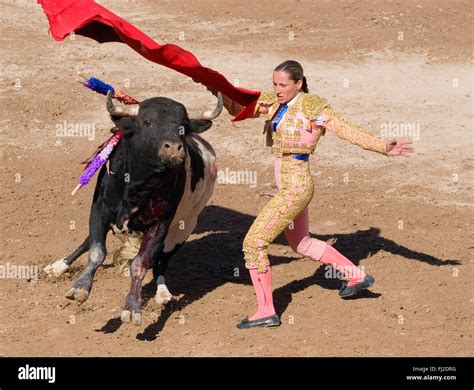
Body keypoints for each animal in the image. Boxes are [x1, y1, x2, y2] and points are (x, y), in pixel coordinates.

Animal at [44, 91, 222, 326]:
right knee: (88, 242)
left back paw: (163, 293)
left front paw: (132, 306)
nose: (174, 148)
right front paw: (80, 287)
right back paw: (57, 267)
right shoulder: (99, 210)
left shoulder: (160, 224)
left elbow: (140, 263)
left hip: (185, 227)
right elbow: (96, 250)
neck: (138, 186)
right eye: (146, 122)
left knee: (161, 261)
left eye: (183, 125)